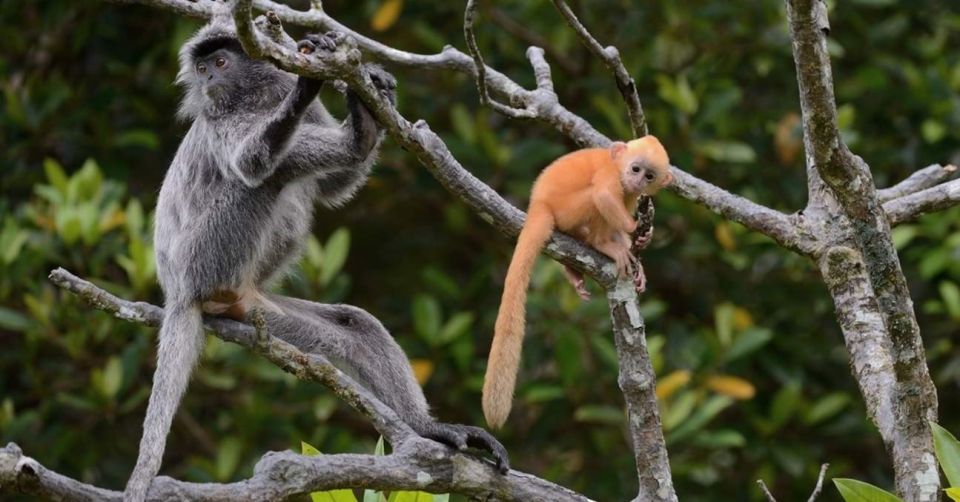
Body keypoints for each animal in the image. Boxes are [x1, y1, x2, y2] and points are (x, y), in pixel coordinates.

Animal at [124, 19, 506, 502]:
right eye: (203, 68)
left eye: (221, 63)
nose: (208, 81)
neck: (255, 99)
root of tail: (178, 292)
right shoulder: (218, 120)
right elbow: (252, 162)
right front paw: (309, 89)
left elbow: (332, 189)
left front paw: (370, 92)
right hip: (203, 261)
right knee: (267, 176)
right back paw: (354, 139)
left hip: (259, 309)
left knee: (356, 327)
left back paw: (428, 428)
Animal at [482, 136, 673, 429]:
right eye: (635, 168)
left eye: (649, 175)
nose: (637, 180)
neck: (617, 165)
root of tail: (539, 204)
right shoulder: (610, 174)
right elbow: (603, 195)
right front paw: (633, 232)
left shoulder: (633, 194)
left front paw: (640, 257)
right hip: (567, 209)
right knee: (595, 199)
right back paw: (601, 244)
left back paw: (576, 267)